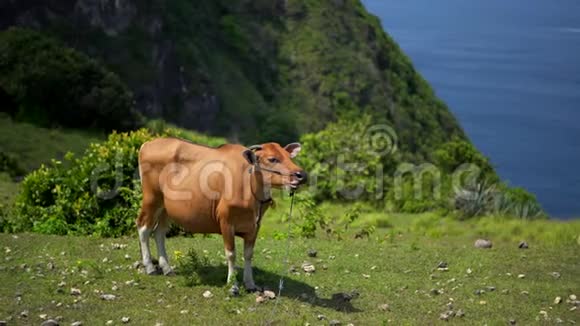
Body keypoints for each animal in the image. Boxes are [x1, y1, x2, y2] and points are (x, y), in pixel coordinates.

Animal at [137, 138, 308, 292]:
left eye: (289, 157)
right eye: (272, 159)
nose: (301, 175)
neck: (249, 187)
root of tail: (147, 144)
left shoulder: (255, 226)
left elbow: (248, 254)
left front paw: (250, 283)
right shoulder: (226, 222)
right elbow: (231, 254)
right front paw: (232, 284)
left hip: (166, 208)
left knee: (159, 232)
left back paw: (167, 268)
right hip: (152, 198)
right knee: (144, 228)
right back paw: (150, 267)